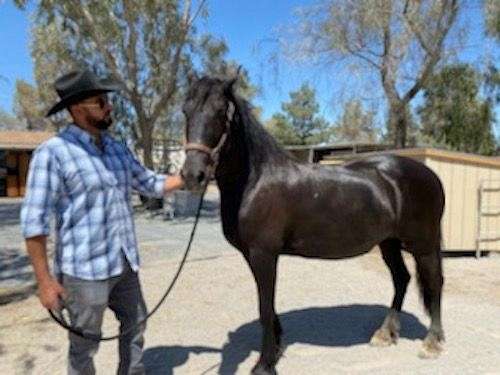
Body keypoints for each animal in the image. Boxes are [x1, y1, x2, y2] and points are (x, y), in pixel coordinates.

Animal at [183, 75, 446, 374]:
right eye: (185, 110)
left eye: (220, 112)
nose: (192, 175)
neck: (256, 181)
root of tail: (430, 174)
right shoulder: (253, 255)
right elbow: (268, 305)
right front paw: (277, 347)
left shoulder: (264, 254)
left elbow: (264, 307)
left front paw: (264, 364)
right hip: (388, 243)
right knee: (401, 278)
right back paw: (385, 334)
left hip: (423, 244)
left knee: (435, 283)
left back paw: (431, 343)